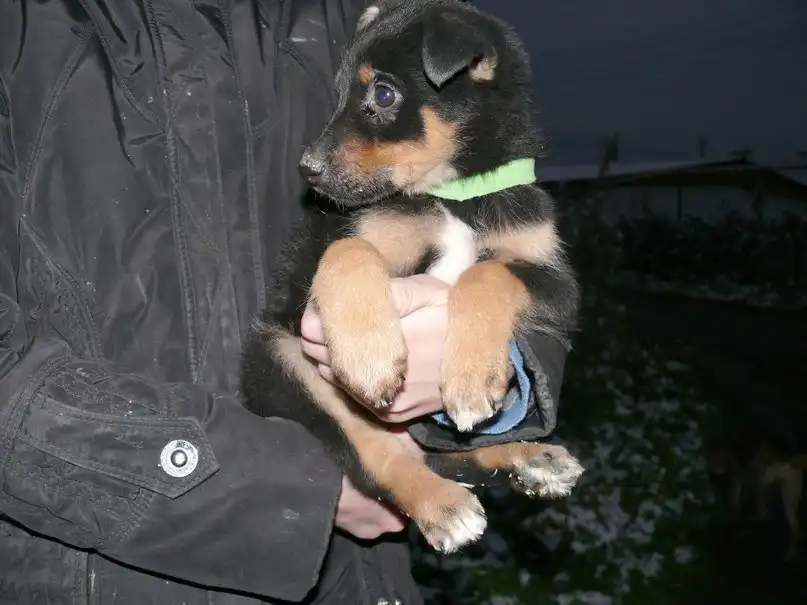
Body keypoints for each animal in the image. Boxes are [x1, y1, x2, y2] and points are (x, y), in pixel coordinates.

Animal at [705, 427, 805, 562]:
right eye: (709, 457)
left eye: (720, 456)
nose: (714, 470)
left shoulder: (737, 478)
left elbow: (735, 503)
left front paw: (731, 518)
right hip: (788, 496)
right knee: (795, 529)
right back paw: (790, 555)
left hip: (760, 484)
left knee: (764, 514)